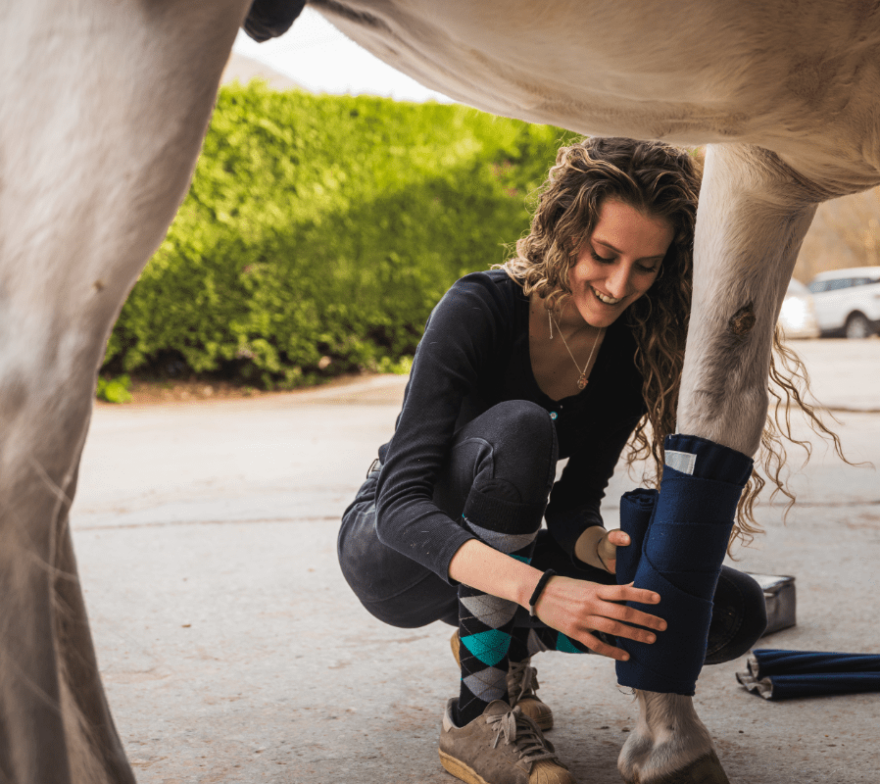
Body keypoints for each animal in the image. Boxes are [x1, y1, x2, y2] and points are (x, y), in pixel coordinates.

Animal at [3, 1, 876, 784]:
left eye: (644, 267)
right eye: (604, 254)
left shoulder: (768, 166)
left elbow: (713, 417)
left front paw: (666, 731)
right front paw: (659, 736)